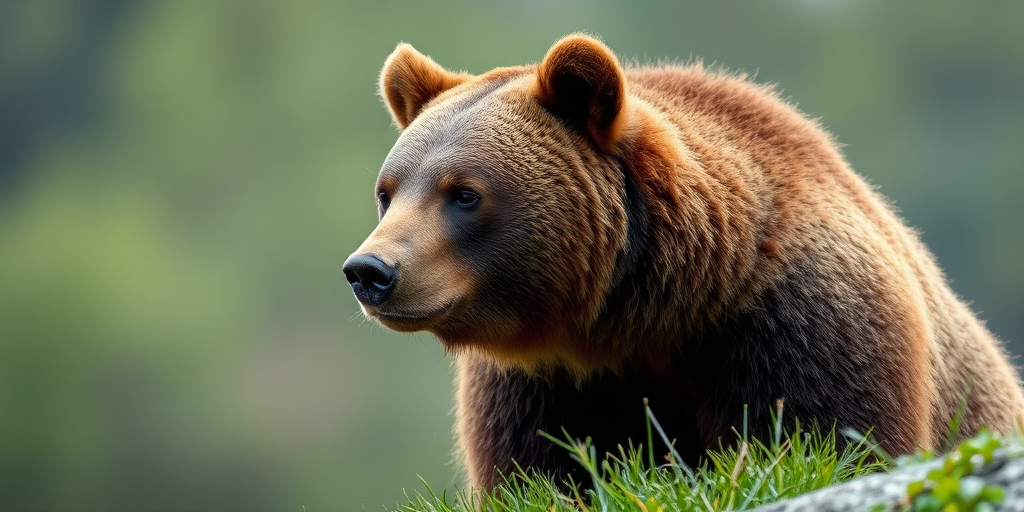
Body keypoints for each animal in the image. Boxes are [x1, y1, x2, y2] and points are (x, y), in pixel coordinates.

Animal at [343, 34, 1024, 490]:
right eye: (388, 191)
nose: (370, 271)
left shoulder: (804, 319)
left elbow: (829, 434)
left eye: (464, 193)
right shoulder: (548, 380)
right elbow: (541, 467)